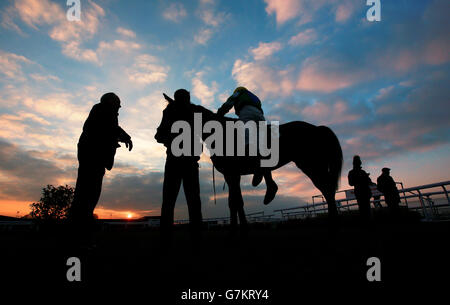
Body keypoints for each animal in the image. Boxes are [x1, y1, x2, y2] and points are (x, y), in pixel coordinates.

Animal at [195, 105, 342, 230]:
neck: (223, 134)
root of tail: (318, 128)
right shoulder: (232, 175)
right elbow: (235, 202)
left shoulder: (232, 174)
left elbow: (235, 202)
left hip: (312, 166)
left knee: (327, 189)